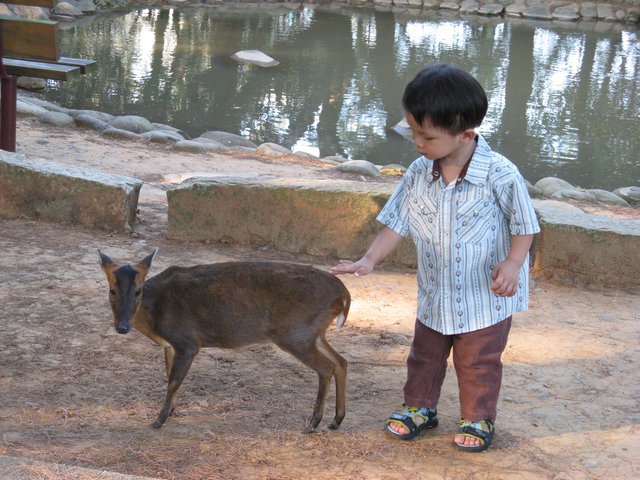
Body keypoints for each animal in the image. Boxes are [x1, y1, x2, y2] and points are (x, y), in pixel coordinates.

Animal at [98, 249, 352, 434]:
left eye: (138, 291)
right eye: (112, 290)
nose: (122, 327)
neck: (155, 316)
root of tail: (344, 294)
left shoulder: (187, 342)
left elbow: (173, 381)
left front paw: (159, 420)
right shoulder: (170, 345)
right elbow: (168, 374)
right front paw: (172, 411)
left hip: (295, 332)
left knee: (326, 367)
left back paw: (313, 423)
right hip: (315, 332)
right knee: (341, 361)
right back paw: (336, 420)